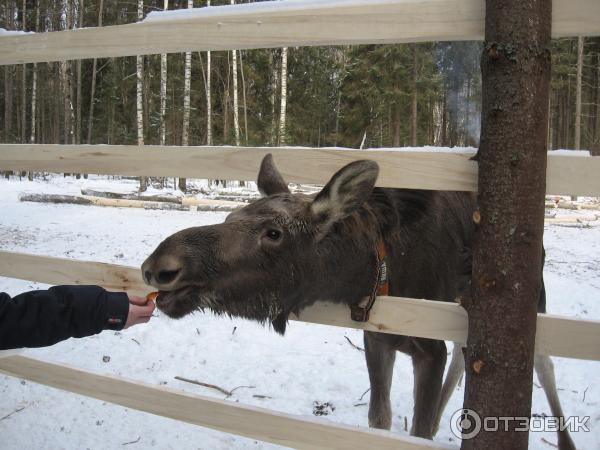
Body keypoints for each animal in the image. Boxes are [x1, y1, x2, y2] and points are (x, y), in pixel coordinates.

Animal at [142, 155, 576, 450]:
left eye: (274, 233)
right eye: (231, 216)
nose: (160, 266)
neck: (378, 272)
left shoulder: (428, 347)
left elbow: (416, 430)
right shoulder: (377, 338)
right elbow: (380, 418)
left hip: (534, 294)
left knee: (543, 362)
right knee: (466, 354)